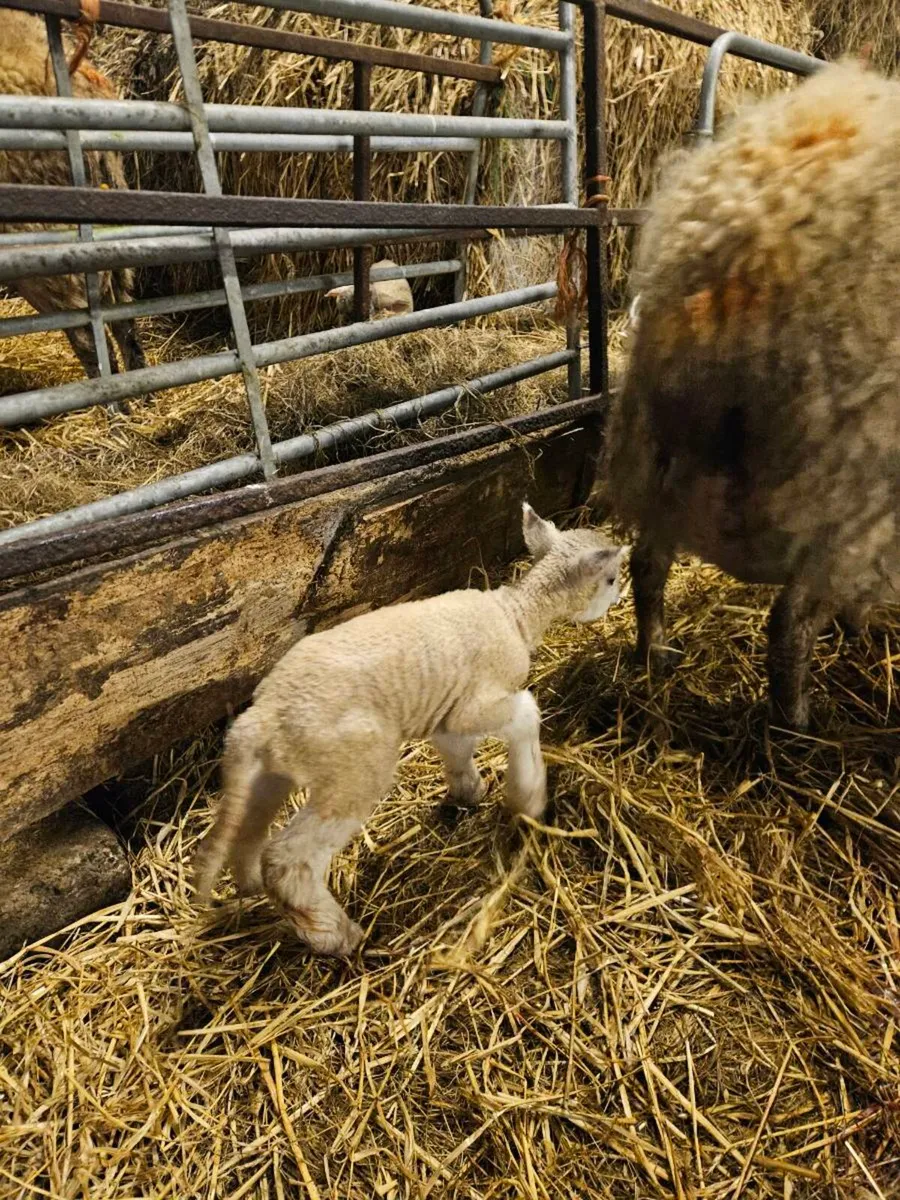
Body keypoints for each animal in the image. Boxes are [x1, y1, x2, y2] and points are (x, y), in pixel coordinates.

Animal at [193, 504, 625, 957]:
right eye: (612, 577)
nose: (620, 596)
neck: (517, 614)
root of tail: (263, 715)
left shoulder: (447, 710)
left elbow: (456, 748)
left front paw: (469, 791)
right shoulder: (475, 703)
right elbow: (526, 713)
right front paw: (529, 799)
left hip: (274, 772)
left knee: (248, 835)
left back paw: (257, 891)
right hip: (353, 770)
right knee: (287, 858)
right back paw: (334, 935)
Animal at [602, 59, 900, 732]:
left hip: (662, 452)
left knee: (646, 561)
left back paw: (654, 653)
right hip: (851, 470)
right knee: (789, 624)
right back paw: (800, 725)